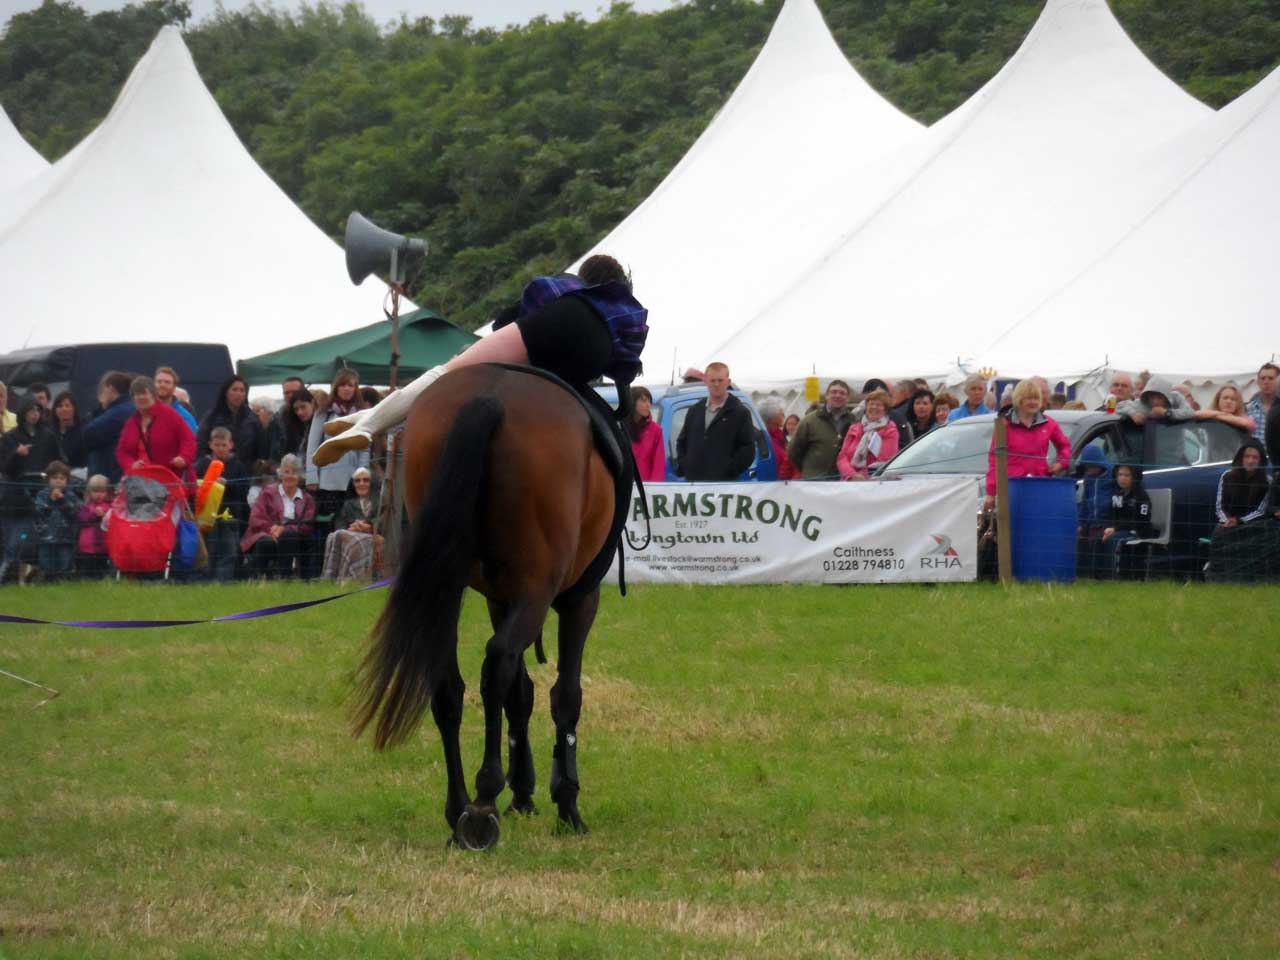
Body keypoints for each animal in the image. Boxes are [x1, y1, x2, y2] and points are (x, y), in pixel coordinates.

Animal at [350, 363, 619, 855]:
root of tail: (490, 395)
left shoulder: (500, 598)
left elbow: (521, 692)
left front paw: (525, 793)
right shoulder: (578, 598)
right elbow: (564, 696)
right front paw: (565, 802)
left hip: (448, 583)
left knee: (448, 685)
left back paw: (459, 807)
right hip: (538, 589)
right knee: (497, 663)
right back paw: (483, 804)